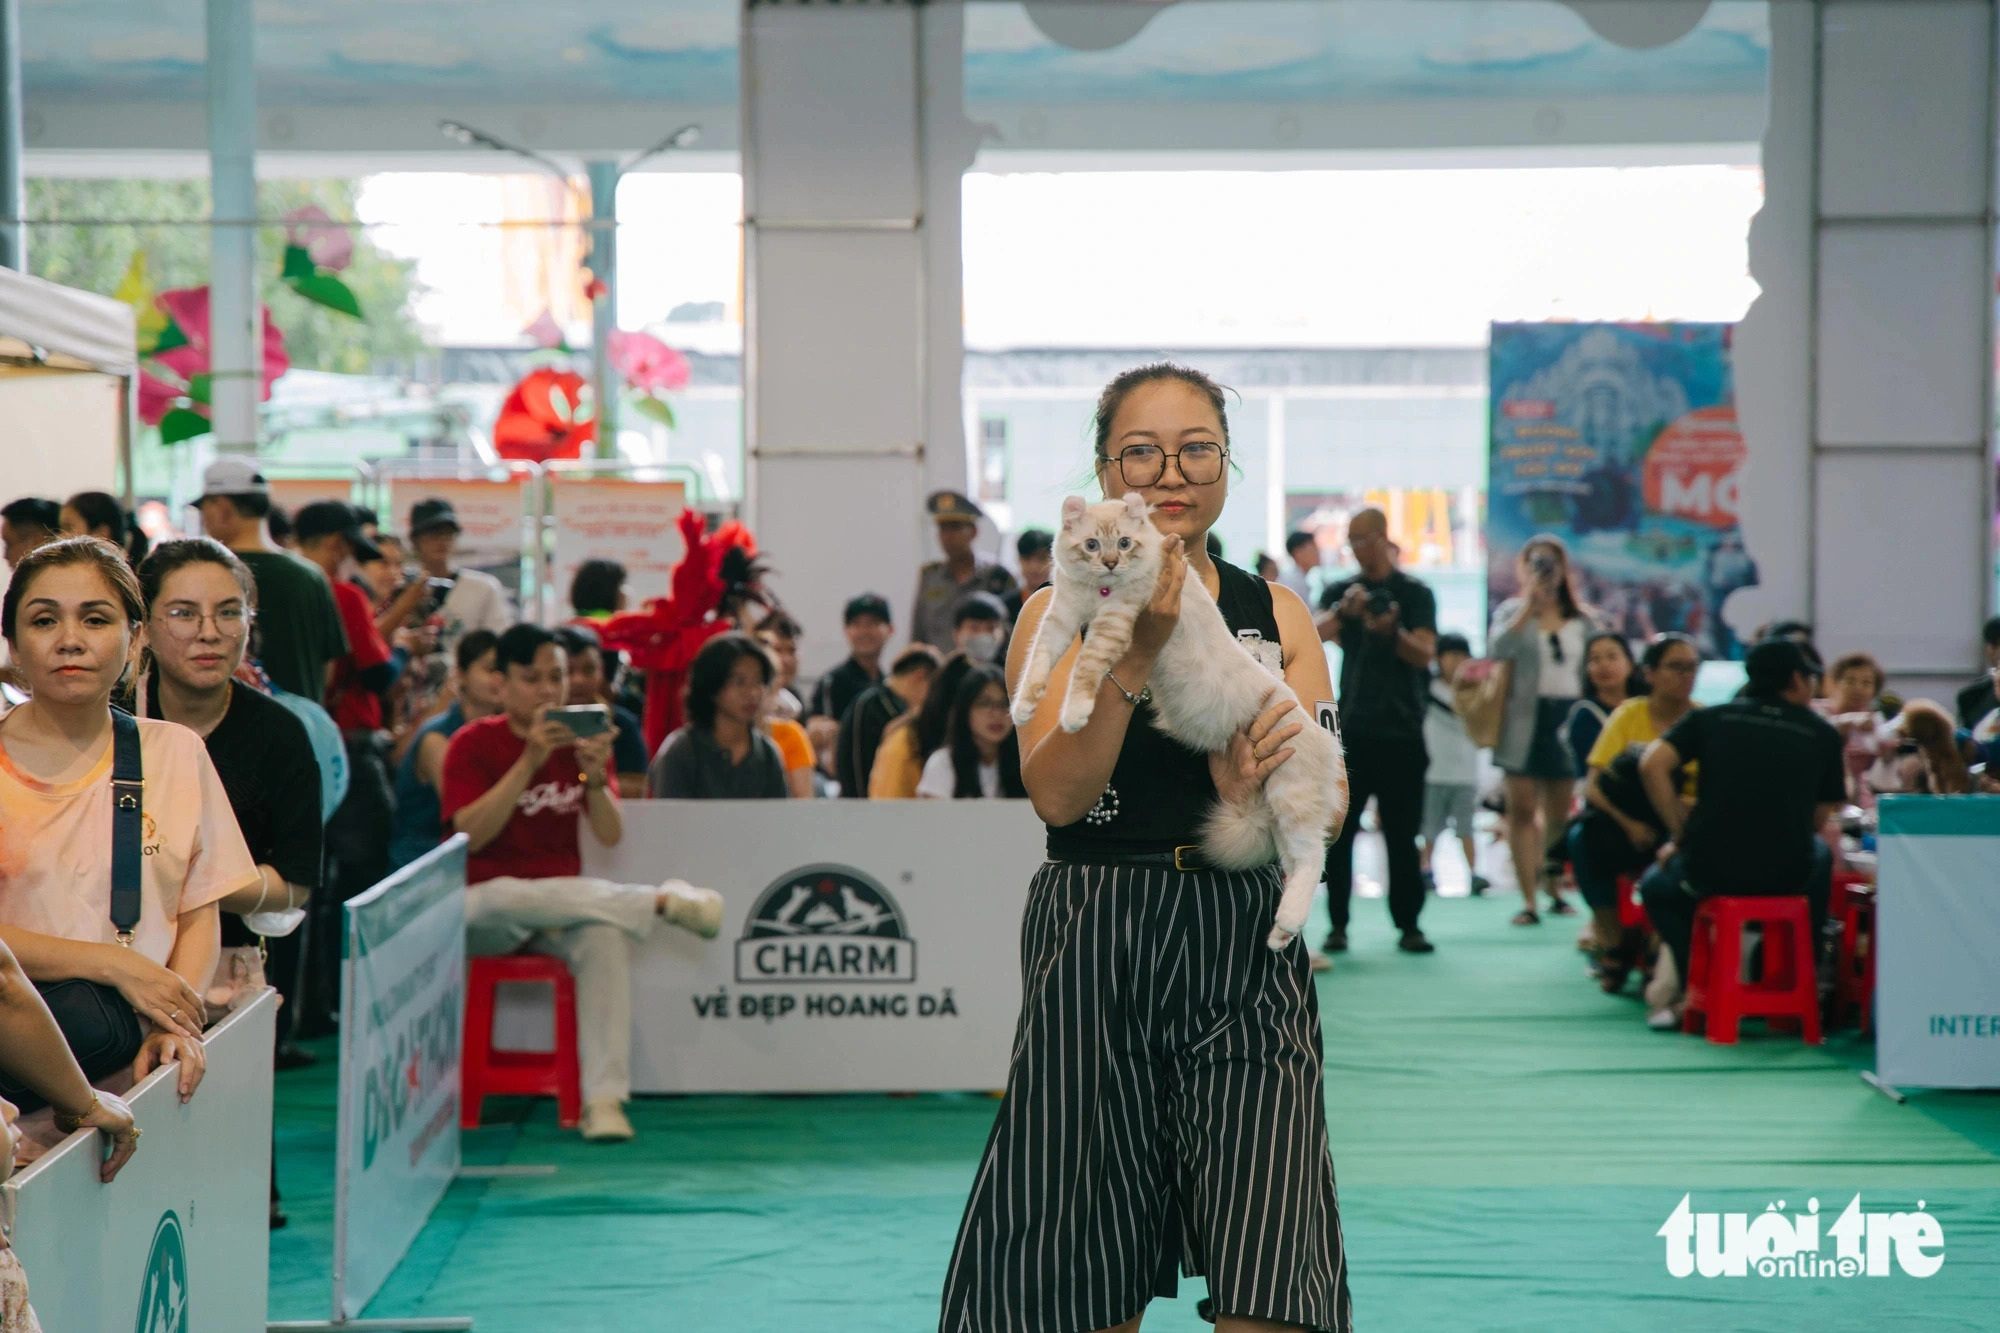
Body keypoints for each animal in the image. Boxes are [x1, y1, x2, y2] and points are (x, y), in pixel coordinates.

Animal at [1008, 492, 1352, 948]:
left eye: (1124, 543)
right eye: (1091, 546)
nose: (1111, 564)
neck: (1098, 592)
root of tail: (1324, 736)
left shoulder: (1115, 621)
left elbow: (1086, 666)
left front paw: (1075, 712)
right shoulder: (1061, 615)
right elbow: (1038, 661)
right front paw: (1023, 707)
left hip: (1290, 794)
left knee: (1313, 857)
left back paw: (1287, 925)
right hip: (1282, 812)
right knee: (1296, 863)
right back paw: (1280, 932)